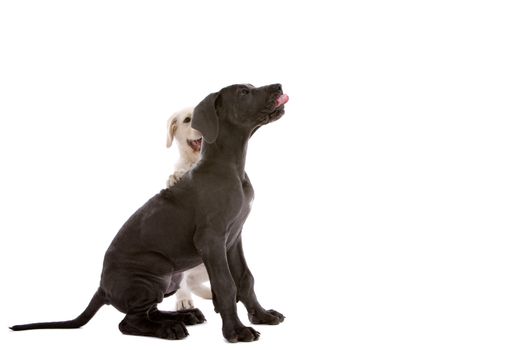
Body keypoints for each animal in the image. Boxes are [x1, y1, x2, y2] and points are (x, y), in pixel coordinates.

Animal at [10, 82, 288, 342]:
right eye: (243, 92)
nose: (279, 86)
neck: (230, 167)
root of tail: (102, 288)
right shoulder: (212, 240)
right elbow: (225, 285)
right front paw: (236, 331)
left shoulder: (233, 238)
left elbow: (245, 278)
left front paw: (262, 316)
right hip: (150, 275)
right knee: (129, 322)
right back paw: (170, 328)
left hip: (170, 278)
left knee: (149, 312)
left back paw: (184, 316)